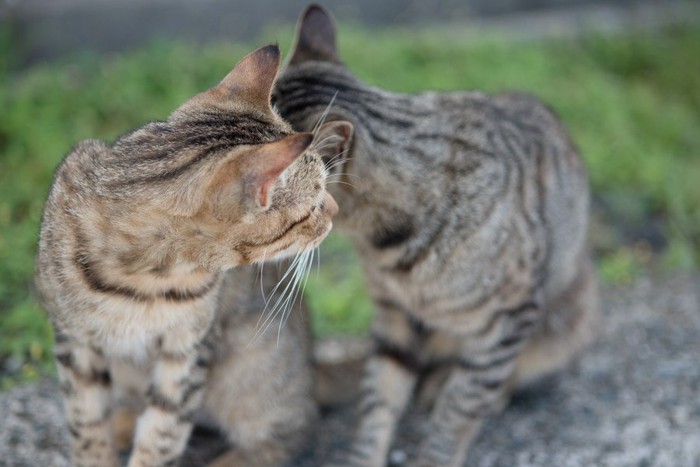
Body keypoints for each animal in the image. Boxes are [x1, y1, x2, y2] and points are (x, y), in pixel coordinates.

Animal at [35, 44, 340, 467]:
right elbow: (87, 427)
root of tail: (313, 368)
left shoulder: (188, 354)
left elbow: (162, 435)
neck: (146, 277)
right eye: (314, 205)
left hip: (253, 370)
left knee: (290, 433)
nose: (336, 211)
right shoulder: (74, 343)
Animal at [274, 4, 600, 467]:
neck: (384, 247)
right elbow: (378, 402)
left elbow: (458, 410)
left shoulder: (508, 319)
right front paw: (365, 455)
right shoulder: (394, 319)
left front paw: (437, 449)